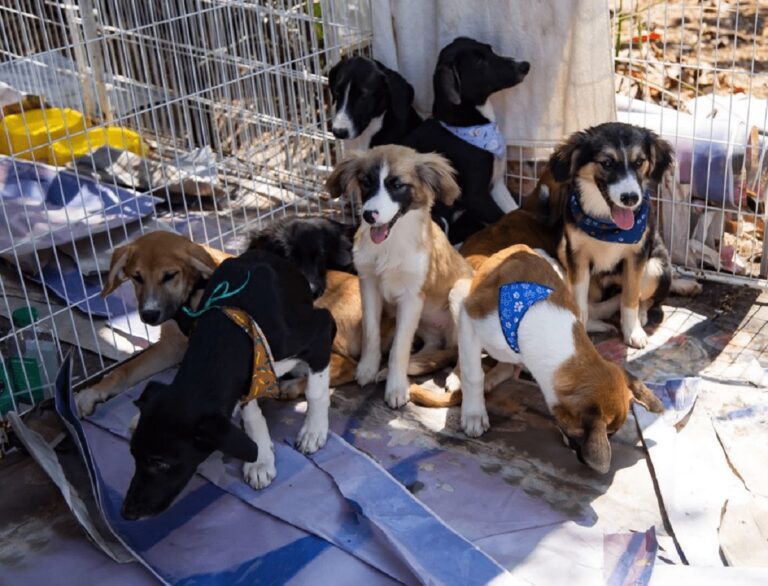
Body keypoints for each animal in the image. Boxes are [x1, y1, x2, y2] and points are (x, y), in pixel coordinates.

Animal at [121, 249, 334, 516]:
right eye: (133, 455)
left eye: (161, 463)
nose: (127, 512)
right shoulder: (249, 373)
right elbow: (251, 413)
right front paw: (260, 458)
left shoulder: (320, 330)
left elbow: (316, 391)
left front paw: (313, 431)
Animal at [326, 144, 474, 406]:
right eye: (366, 182)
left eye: (397, 185)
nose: (369, 215)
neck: (390, 244)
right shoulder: (369, 285)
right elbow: (371, 333)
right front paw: (368, 369)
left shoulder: (411, 297)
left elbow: (399, 348)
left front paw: (396, 388)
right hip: (425, 328)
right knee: (433, 349)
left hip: (457, 295)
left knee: (461, 350)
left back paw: (456, 378)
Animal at [404, 36, 532, 242]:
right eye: (479, 61)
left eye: (491, 50)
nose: (525, 65)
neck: (467, 126)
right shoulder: (477, 197)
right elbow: (504, 218)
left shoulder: (496, 185)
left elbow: (514, 211)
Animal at [452, 244, 664, 472]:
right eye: (607, 434)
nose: (581, 457)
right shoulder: (469, 316)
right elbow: (473, 375)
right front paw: (474, 413)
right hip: (458, 295)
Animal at [548, 121, 676, 344]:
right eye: (607, 163)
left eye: (639, 162)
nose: (630, 198)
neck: (607, 225)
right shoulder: (577, 255)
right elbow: (580, 303)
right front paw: (581, 330)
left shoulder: (637, 256)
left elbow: (630, 298)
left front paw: (632, 331)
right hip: (563, 248)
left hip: (656, 268)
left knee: (647, 299)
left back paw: (641, 316)